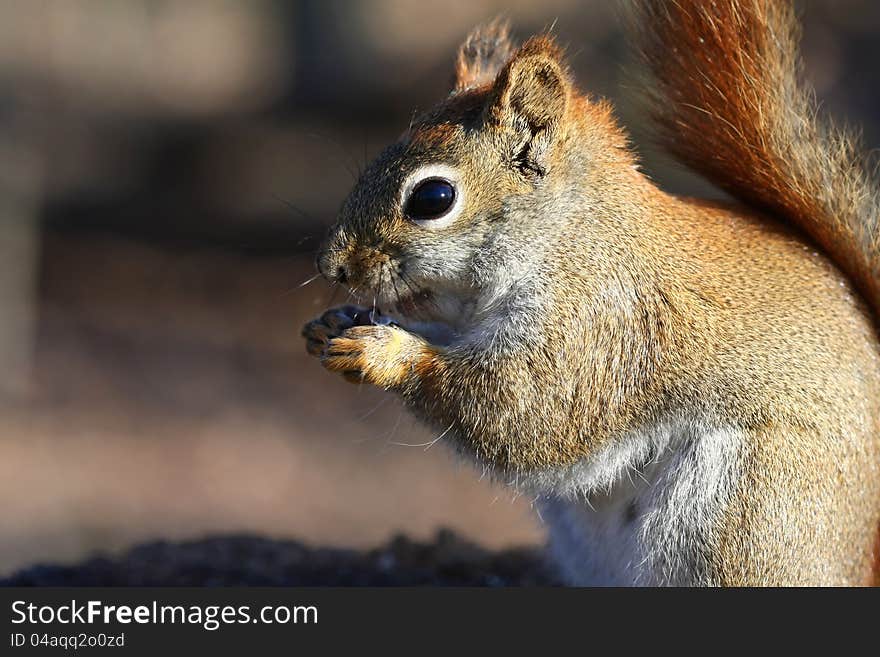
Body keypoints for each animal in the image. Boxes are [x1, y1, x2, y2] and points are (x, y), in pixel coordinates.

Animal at [302, 0, 880, 584]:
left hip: (750, 515)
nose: (332, 267)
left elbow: (526, 408)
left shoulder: (602, 318)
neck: (564, 234)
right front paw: (335, 322)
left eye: (433, 197)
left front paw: (383, 354)